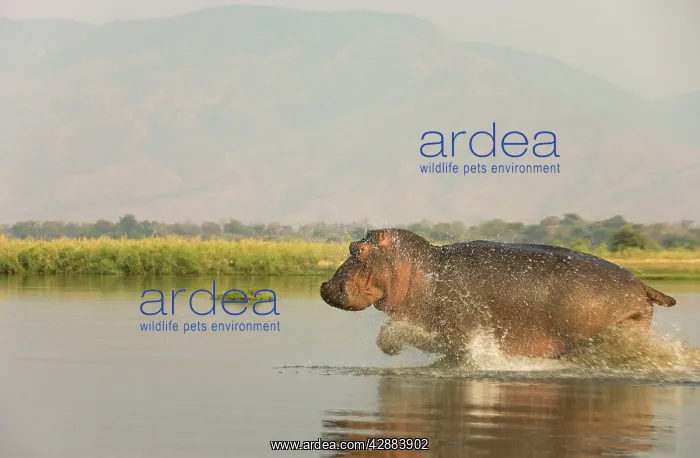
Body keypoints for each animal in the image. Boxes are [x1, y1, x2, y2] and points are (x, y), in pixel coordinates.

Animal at [319, 228, 677, 362]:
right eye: (350, 244)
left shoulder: (458, 331)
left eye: (360, 250)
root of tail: (640, 284)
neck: (422, 267)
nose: (325, 286)